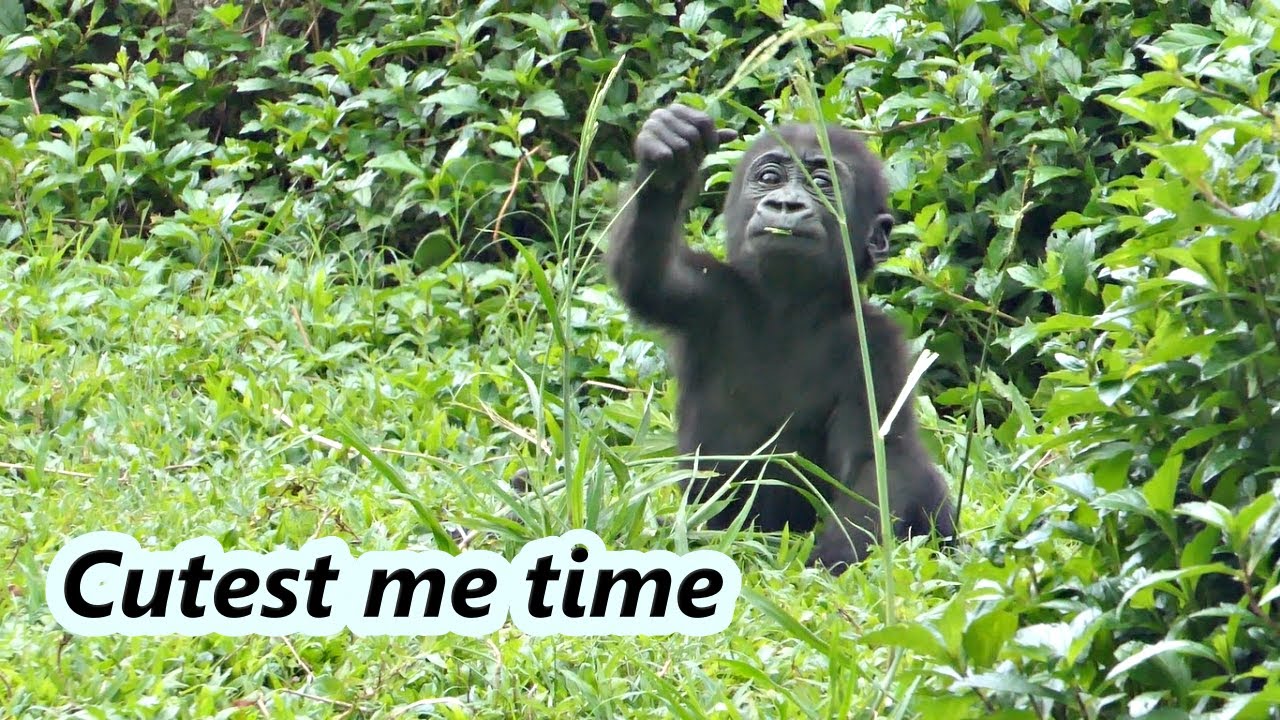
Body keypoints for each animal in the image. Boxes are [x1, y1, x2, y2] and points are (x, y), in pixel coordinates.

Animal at [606, 103, 956, 574]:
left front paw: (831, 562)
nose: (786, 204)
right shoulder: (712, 293)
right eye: (769, 178)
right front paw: (668, 155)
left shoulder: (877, 345)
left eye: (822, 184)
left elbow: (877, 459)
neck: (791, 308)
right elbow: (650, 277)